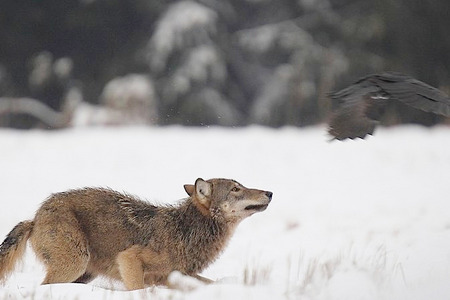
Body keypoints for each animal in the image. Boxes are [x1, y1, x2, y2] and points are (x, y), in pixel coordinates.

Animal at [0, 178, 272, 290]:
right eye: (236, 189)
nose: (270, 192)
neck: (186, 230)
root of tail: (34, 219)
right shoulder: (129, 258)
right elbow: (137, 290)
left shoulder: (176, 276)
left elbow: (210, 284)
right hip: (76, 263)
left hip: (83, 273)